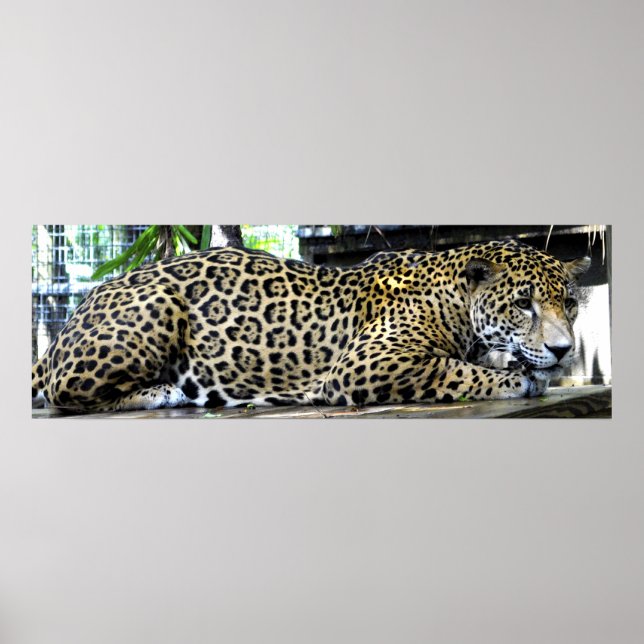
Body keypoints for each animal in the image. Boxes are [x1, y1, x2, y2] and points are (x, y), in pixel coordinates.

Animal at [31, 239, 590, 413]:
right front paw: (517, 379)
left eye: (570, 303)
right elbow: (456, 371)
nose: (565, 350)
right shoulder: (369, 363)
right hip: (157, 306)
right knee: (65, 393)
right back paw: (161, 392)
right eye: (523, 304)